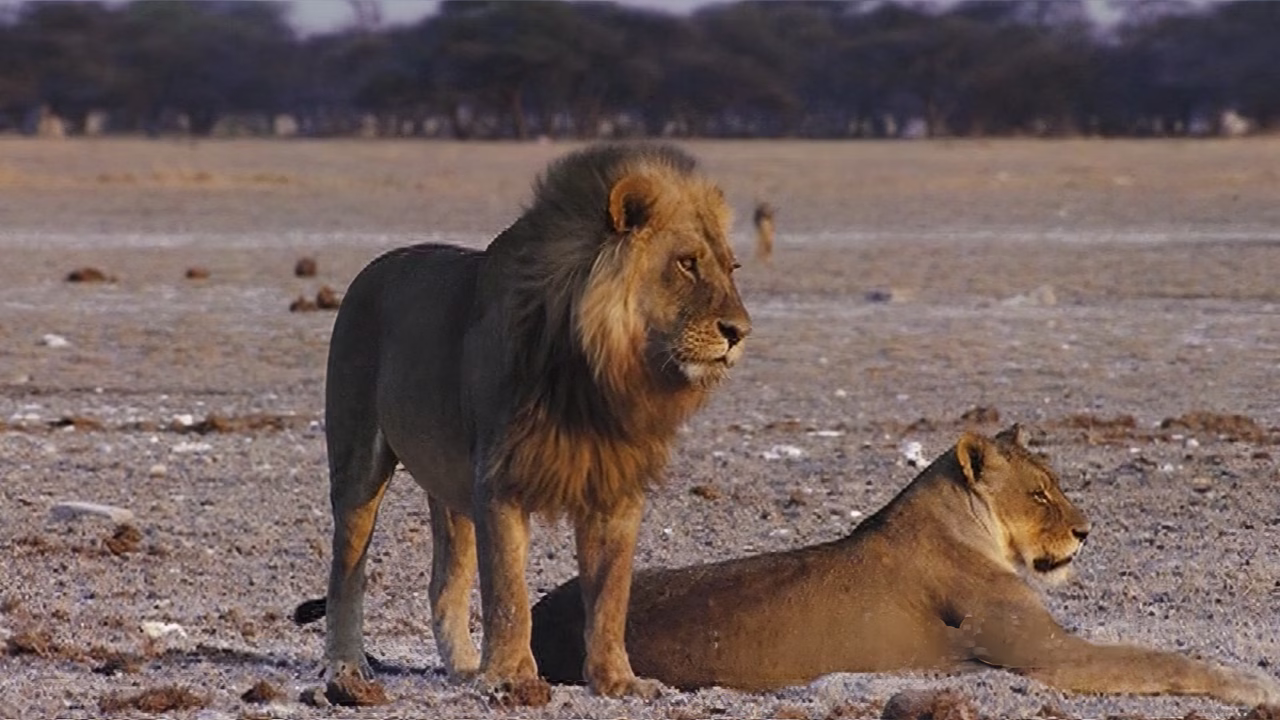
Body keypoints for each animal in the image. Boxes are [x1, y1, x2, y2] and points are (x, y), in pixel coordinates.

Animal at [292, 143, 751, 704]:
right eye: (686, 264)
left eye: (732, 268)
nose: (740, 331)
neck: (602, 376)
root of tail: (369, 271)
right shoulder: (499, 478)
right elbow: (508, 592)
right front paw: (512, 676)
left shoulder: (615, 487)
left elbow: (610, 596)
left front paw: (617, 680)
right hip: (358, 461)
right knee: (346, 571)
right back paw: (347, 668)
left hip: (451, 490)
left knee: (444, 586)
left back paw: (465, 669)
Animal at [531, 425, 1280, 708]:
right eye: (1040, 493)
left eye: (1057, 485)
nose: (1086, 532)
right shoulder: (1043, 654)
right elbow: (1166, 660)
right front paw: (1255, 687)